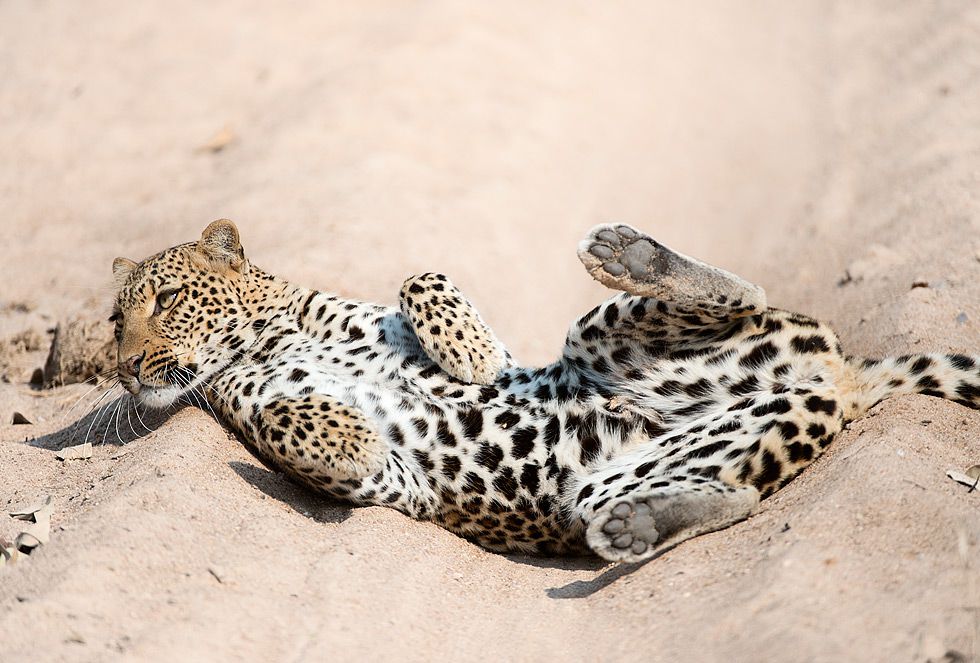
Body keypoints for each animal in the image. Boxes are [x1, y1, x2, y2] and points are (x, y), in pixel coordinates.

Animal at [106, 219, 980, 563]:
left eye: (169, 300)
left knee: (744, 290)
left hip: (597, 335)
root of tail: (846, 377)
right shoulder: (398, 485)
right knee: (735, 495)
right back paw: (638, 525)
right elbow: (300, 424)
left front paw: (465, 351)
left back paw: (633, 254)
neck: (269, 334)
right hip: (607, 482)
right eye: (115, 321)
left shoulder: (385, 310)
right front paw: (344, 431)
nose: (128, 365)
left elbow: (420, 275)